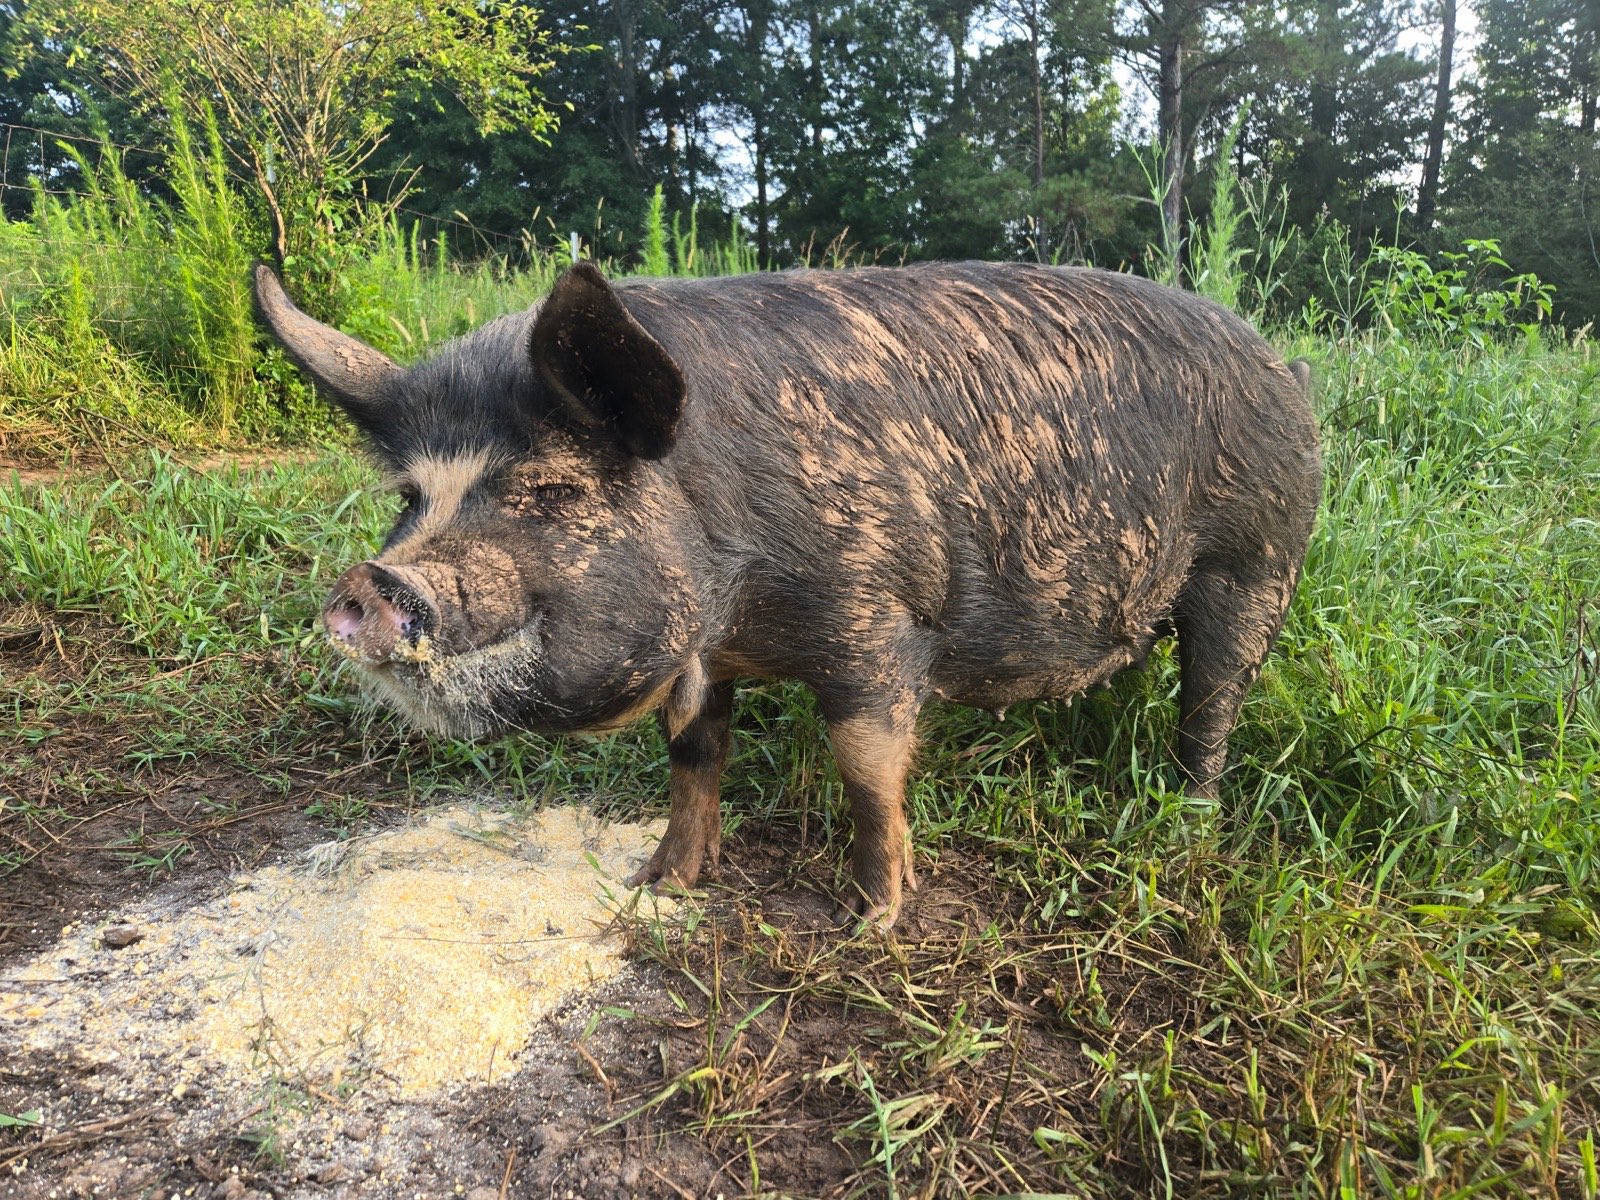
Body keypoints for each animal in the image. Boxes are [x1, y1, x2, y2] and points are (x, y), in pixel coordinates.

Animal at [254, 260, 1320, 928]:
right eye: (410, 499)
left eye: (553, 491)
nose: (373, 580)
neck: (740, 590)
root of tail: (1286, 368)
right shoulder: (703, 652)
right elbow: (694, 755)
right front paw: (662, 885)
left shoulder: (880, 623)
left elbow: (866, 768)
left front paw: (872, 919)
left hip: (1257, 561)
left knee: (1214, 700)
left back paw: (1187, 820)